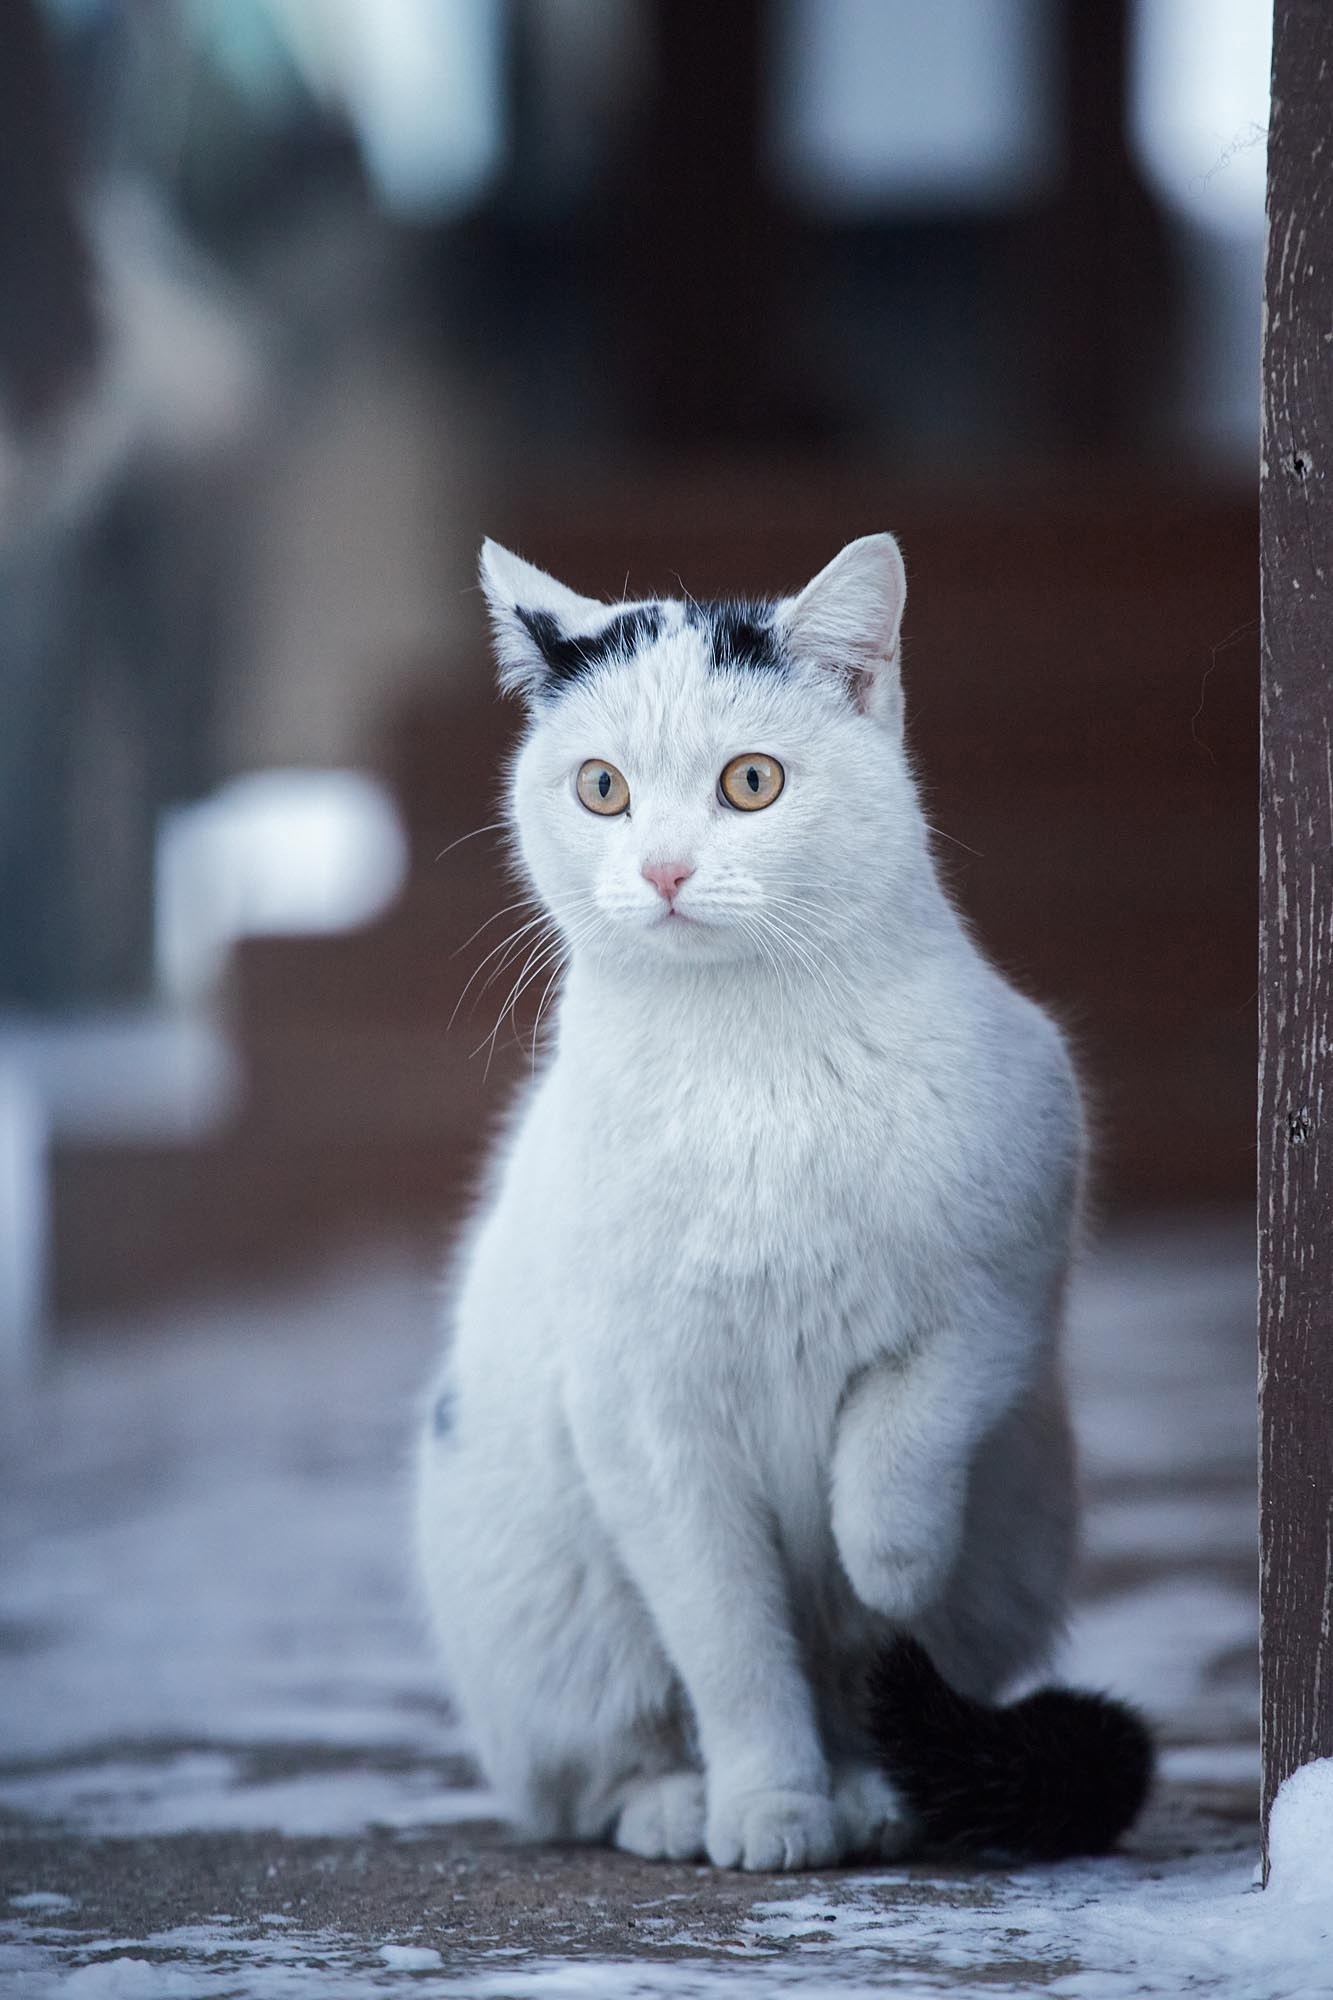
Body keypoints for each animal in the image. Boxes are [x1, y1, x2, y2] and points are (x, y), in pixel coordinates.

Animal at [412, 536, 1144, 1872]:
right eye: (601, 787)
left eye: (750, 781)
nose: (663, 868)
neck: (750, 1068)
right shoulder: (647, 1418)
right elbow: (731, 1641)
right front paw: (766, 1804)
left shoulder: (1003, 1284)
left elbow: (905, 1436)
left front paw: (890, 1563)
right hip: (544, 1618)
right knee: (586, 1773)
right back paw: (677, 1804)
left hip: (1016, 1542)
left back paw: (877, 1790)